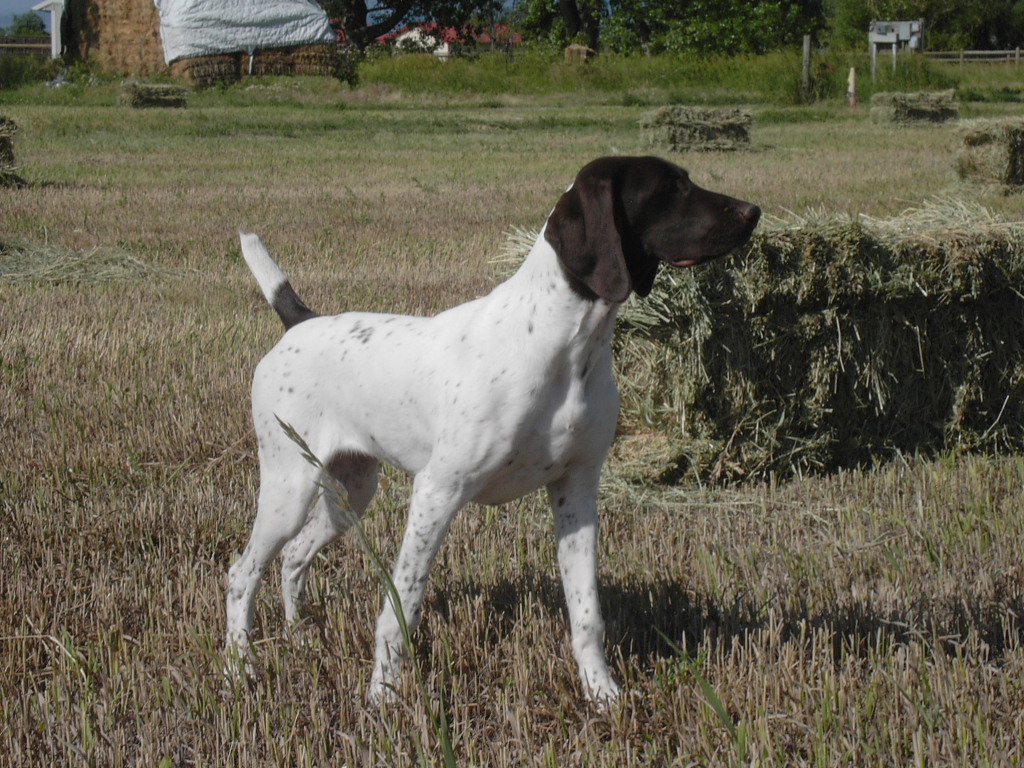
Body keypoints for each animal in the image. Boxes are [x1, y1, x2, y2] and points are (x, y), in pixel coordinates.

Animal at [232, 154, 761, 704]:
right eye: (670, 188)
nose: (754, 211)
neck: (564, 346)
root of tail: (300, 321)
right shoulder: (437, 491)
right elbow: (401, 609)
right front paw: (384, 697)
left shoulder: (577, 490)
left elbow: (586, 613)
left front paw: (601, 692)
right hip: (289, 487)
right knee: (242, 573)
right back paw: (241, 666)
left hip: (350, 492)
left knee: (294, 557)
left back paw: (299, 637)